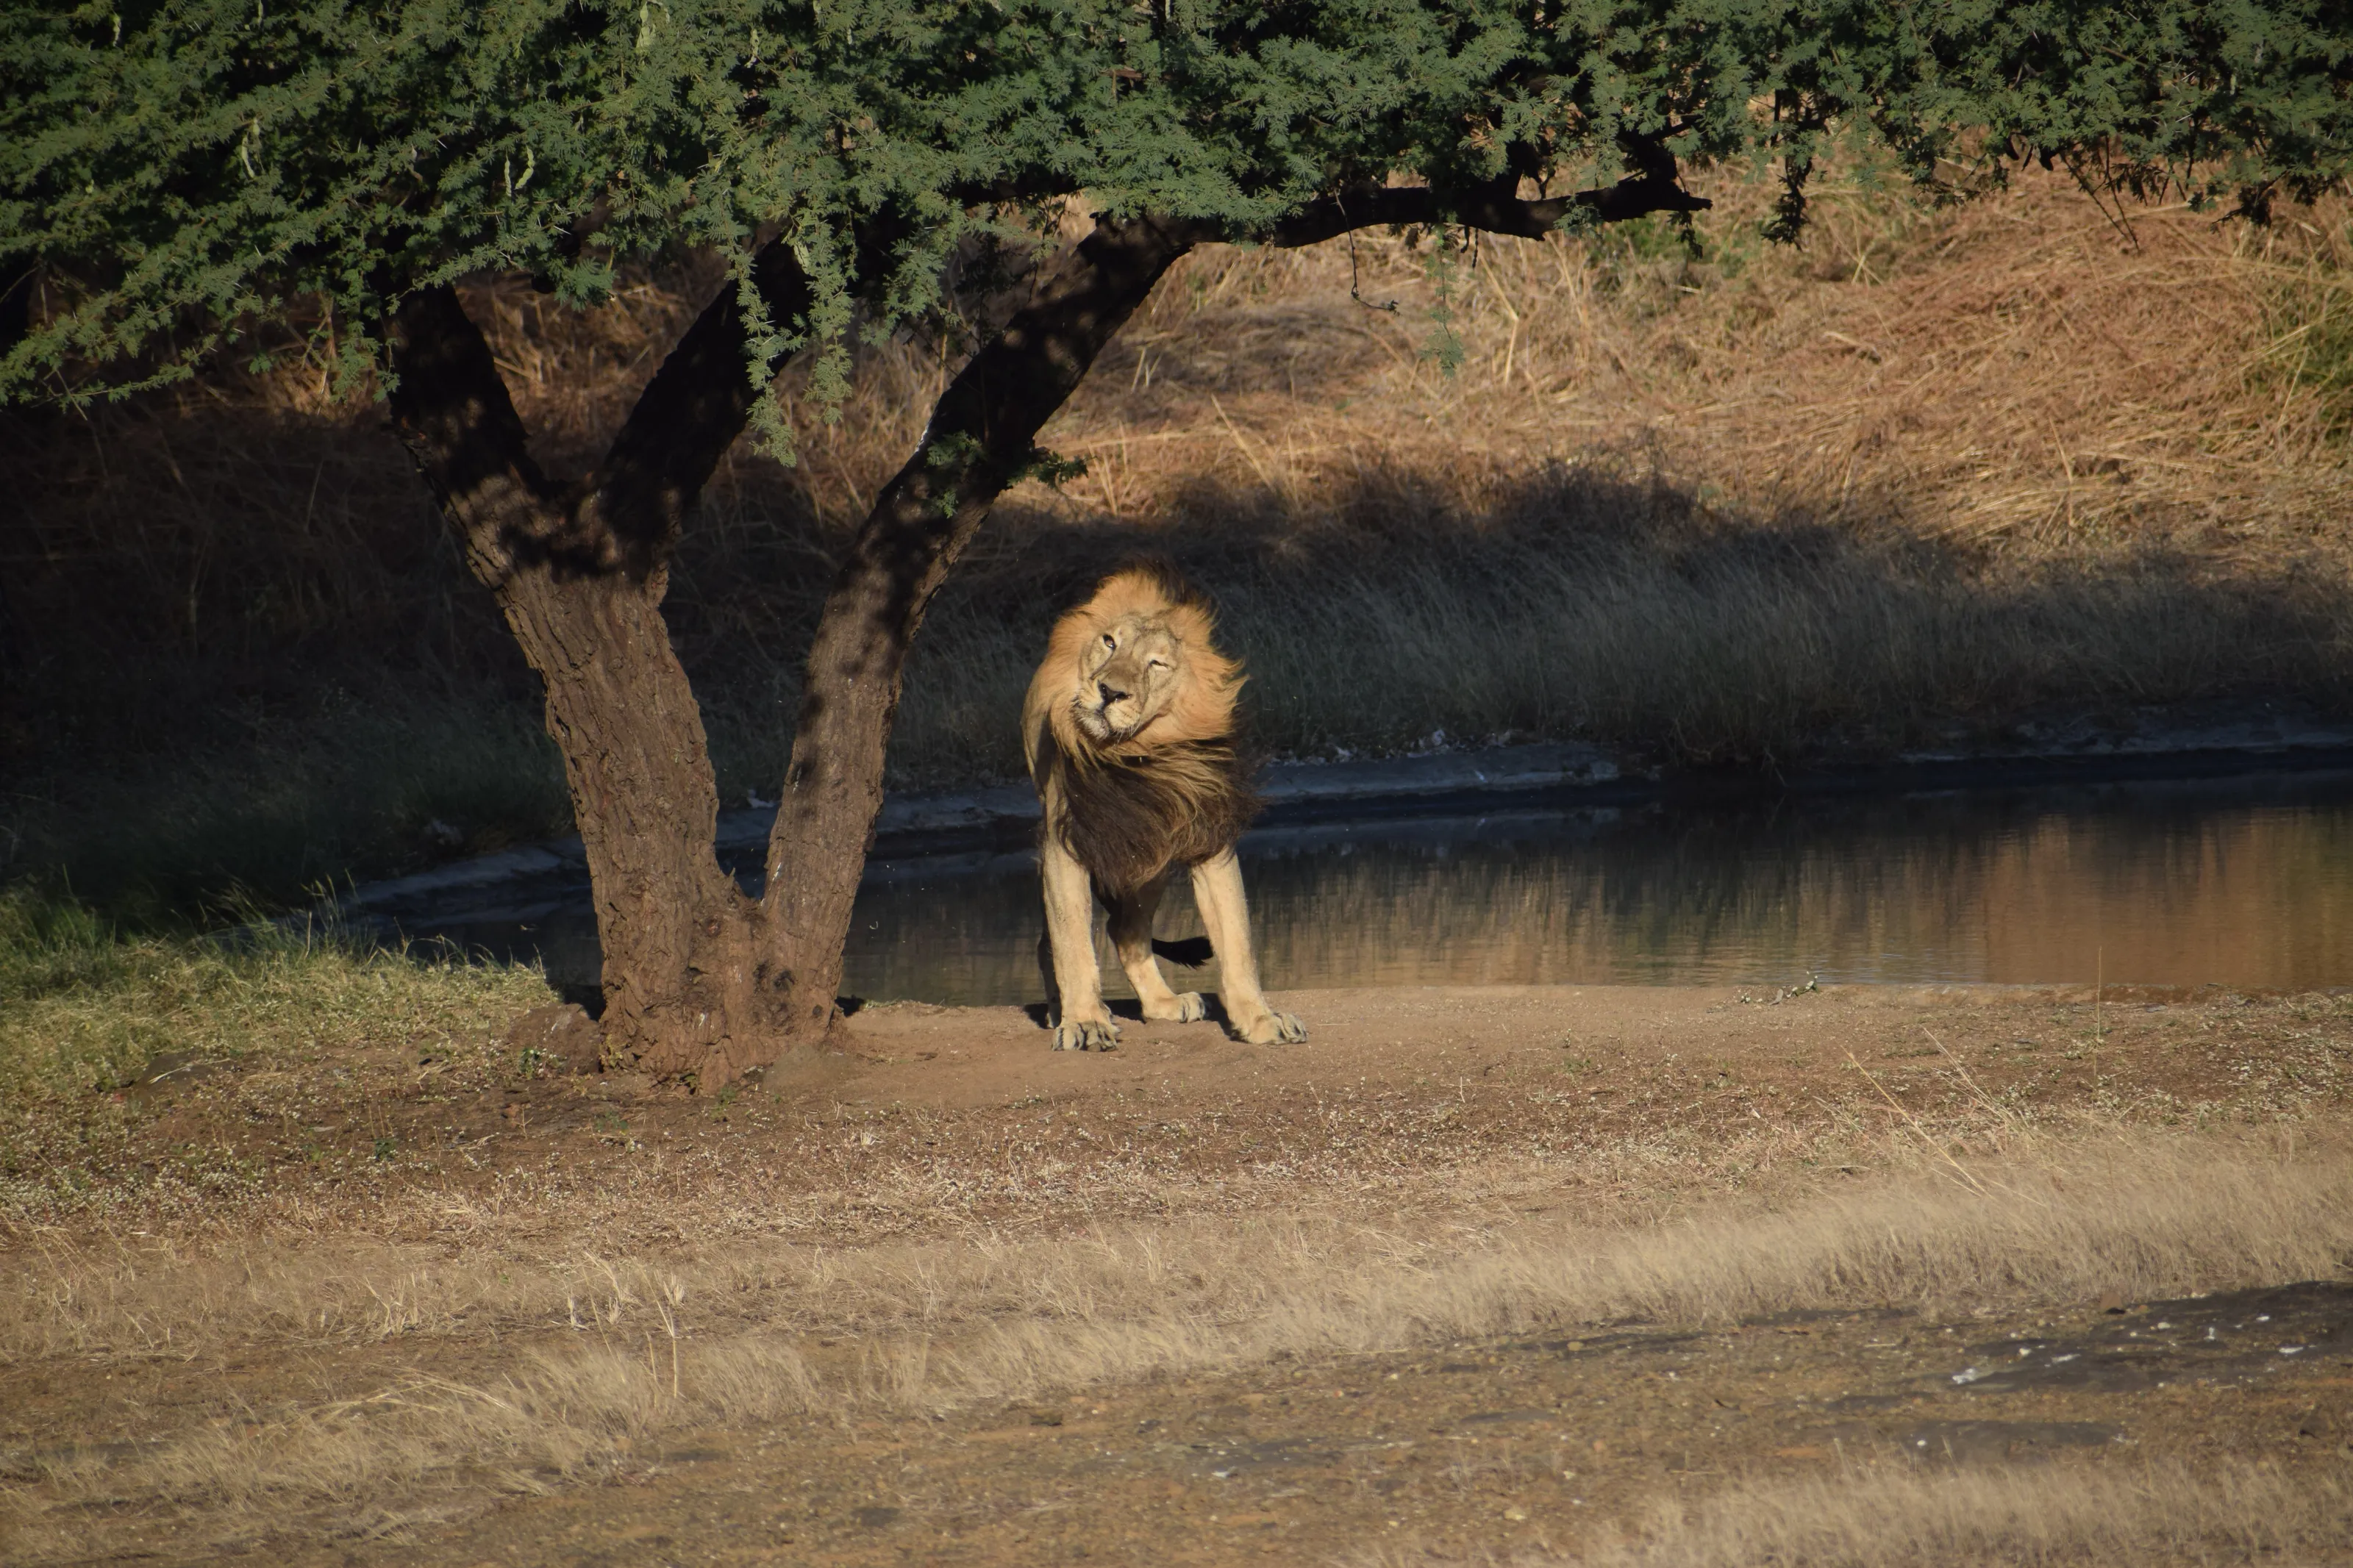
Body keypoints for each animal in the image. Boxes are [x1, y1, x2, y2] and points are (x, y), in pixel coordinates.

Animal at [1022, 564, 1308, 1051]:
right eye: (1109, 643)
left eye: (1156, 664)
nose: (1109, 691)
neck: (1132, 753)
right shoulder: (1064, 841)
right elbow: (1073, 941)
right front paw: (1085, 1021)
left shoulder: (1209, 834)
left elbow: (1237, 938)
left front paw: (1260, 1019)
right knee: (1053, 941)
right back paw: (1064, 1011)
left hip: (1151, 859)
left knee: (1125, 932)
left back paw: (1163, 1004)